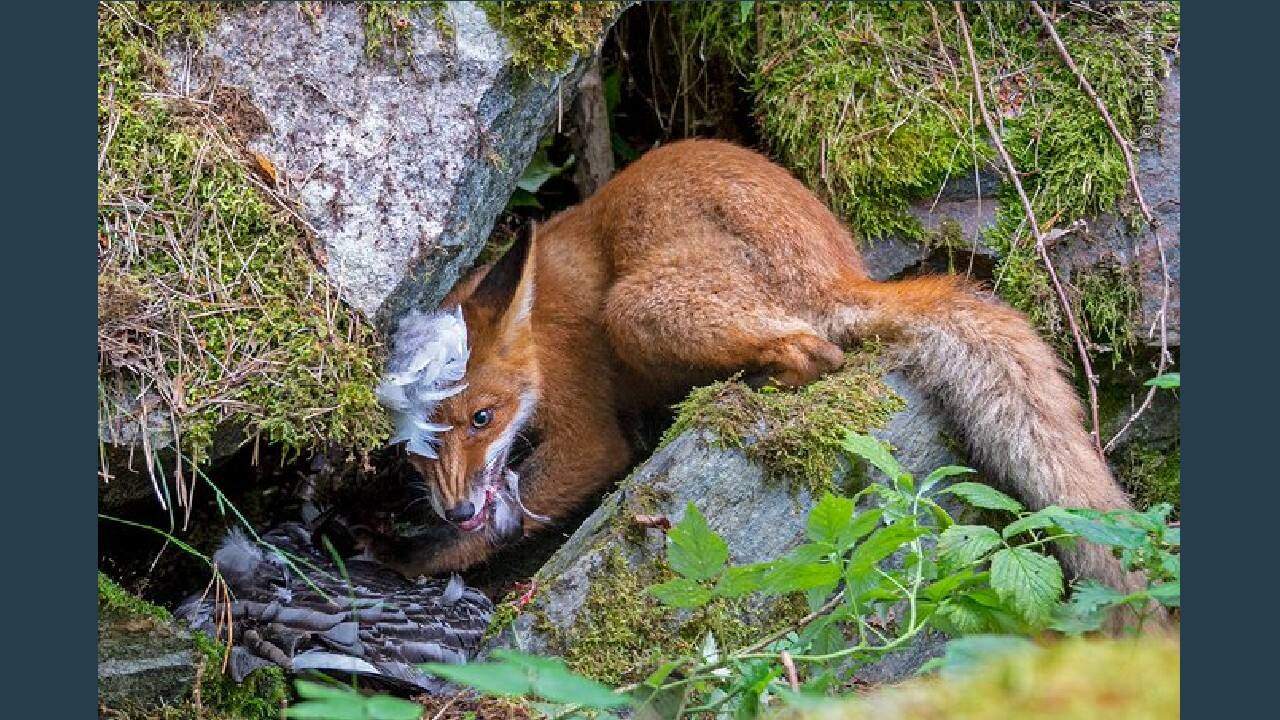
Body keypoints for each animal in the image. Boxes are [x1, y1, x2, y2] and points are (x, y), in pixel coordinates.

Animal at [366, 138, 1142, 597]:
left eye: (482, 418)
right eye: (416, 451)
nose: (456, 507)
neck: (543, 331)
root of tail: (841, 271)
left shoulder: (591, 433)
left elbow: (511, 516)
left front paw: (410, 557)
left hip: (638, 307)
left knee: (816, 350)